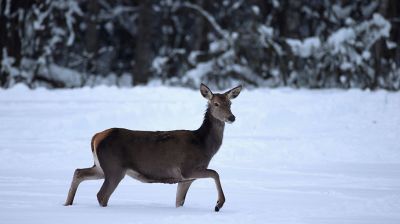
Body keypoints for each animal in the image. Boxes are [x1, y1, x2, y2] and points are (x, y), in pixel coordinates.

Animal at [64, 83, 242, 212]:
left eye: (230, 103)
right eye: (216, 104)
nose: (231, 117)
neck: (203, 146)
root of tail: (96, 137)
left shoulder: (185, 179)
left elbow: (179, 202)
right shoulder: (188, 169)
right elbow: (215, 173)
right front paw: (218, 204)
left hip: (101, 167)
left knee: (79, 172)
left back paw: (67, 204)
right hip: (114, 168)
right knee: (101, 195)